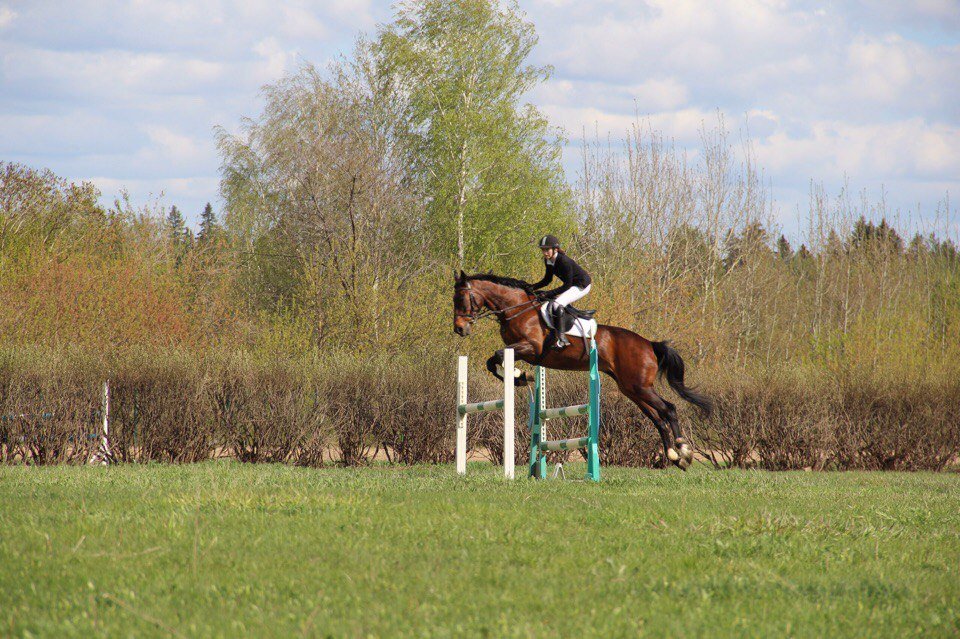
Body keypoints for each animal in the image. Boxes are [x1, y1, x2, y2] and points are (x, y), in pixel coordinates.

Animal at [452, 272, 712, 470]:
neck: (518, 309)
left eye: (462, 299)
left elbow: (498, 355)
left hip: (639, 386)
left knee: (669, 409)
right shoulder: (520, 350)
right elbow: (492, 361)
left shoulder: (531, 347)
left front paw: (518, 375)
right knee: (657, 418)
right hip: (631, 388)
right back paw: (674, 456)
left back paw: (683, 451)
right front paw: (519, 376)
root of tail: (649, 344)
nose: (459, 329)